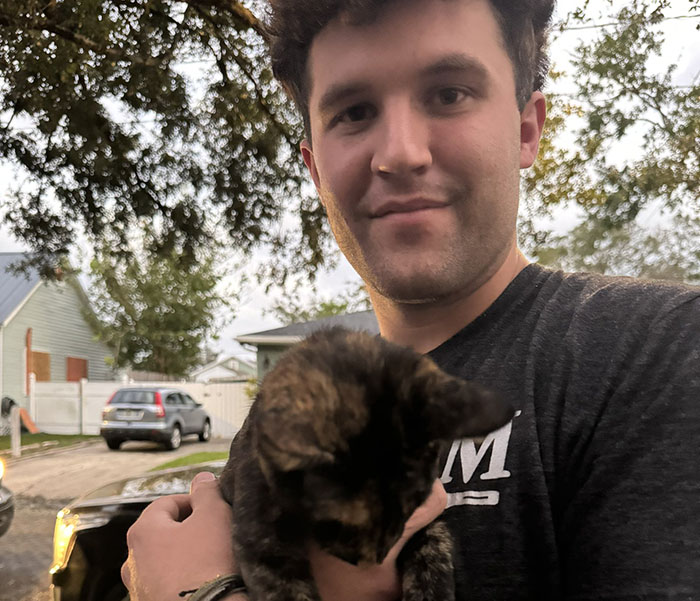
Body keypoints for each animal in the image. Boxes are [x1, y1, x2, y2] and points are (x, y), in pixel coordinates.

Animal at [220, 326, 516, 600]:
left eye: (414, 506)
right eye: (335, 524)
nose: (376, 560)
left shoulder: (431, 519)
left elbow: (435, 548)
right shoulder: (263, 542)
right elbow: (286, 591)